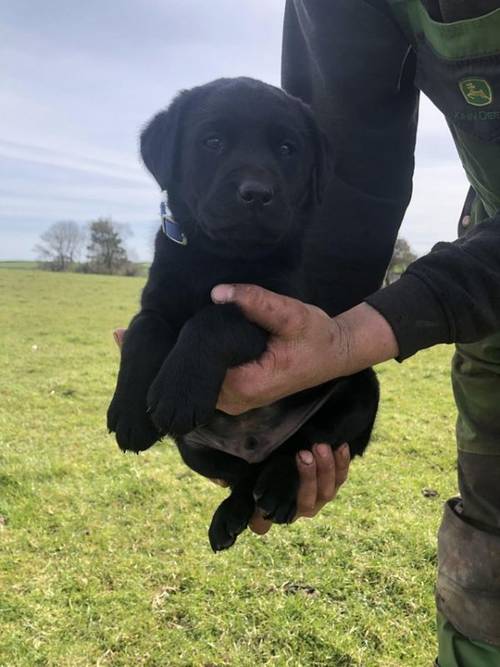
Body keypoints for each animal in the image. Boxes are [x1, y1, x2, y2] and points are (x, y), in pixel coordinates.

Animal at [106, 75, 378, 552]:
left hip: (360, 389)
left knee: (302, 448)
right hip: (194, 446)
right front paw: (130, 412)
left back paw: (280, 488)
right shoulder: (158, 299)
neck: (219, 257)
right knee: (243, 478)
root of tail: (255, 445)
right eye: (212, 142)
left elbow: (217, 317)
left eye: (287, 149)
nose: (256, 194)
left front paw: (178, 389)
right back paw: (230, 516)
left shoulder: (277, 309)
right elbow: (144, 331)